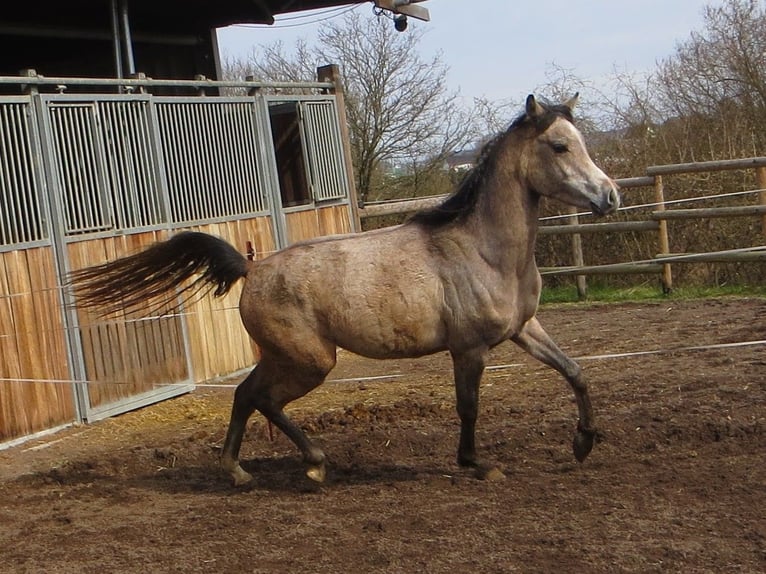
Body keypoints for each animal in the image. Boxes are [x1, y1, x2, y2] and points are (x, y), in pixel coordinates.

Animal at [72, 93, 620, 486]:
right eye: (559, 146)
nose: (610, 196)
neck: (482, 249)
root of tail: (253, 270)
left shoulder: (524, 329)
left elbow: (576, 372)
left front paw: (584, 442)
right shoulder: (470, 349)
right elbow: (469, 406)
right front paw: (478, 463)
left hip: (287, 356)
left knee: (246, 395)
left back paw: (239, 472)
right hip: (311, 360)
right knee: (265, 400)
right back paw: (314, 463)